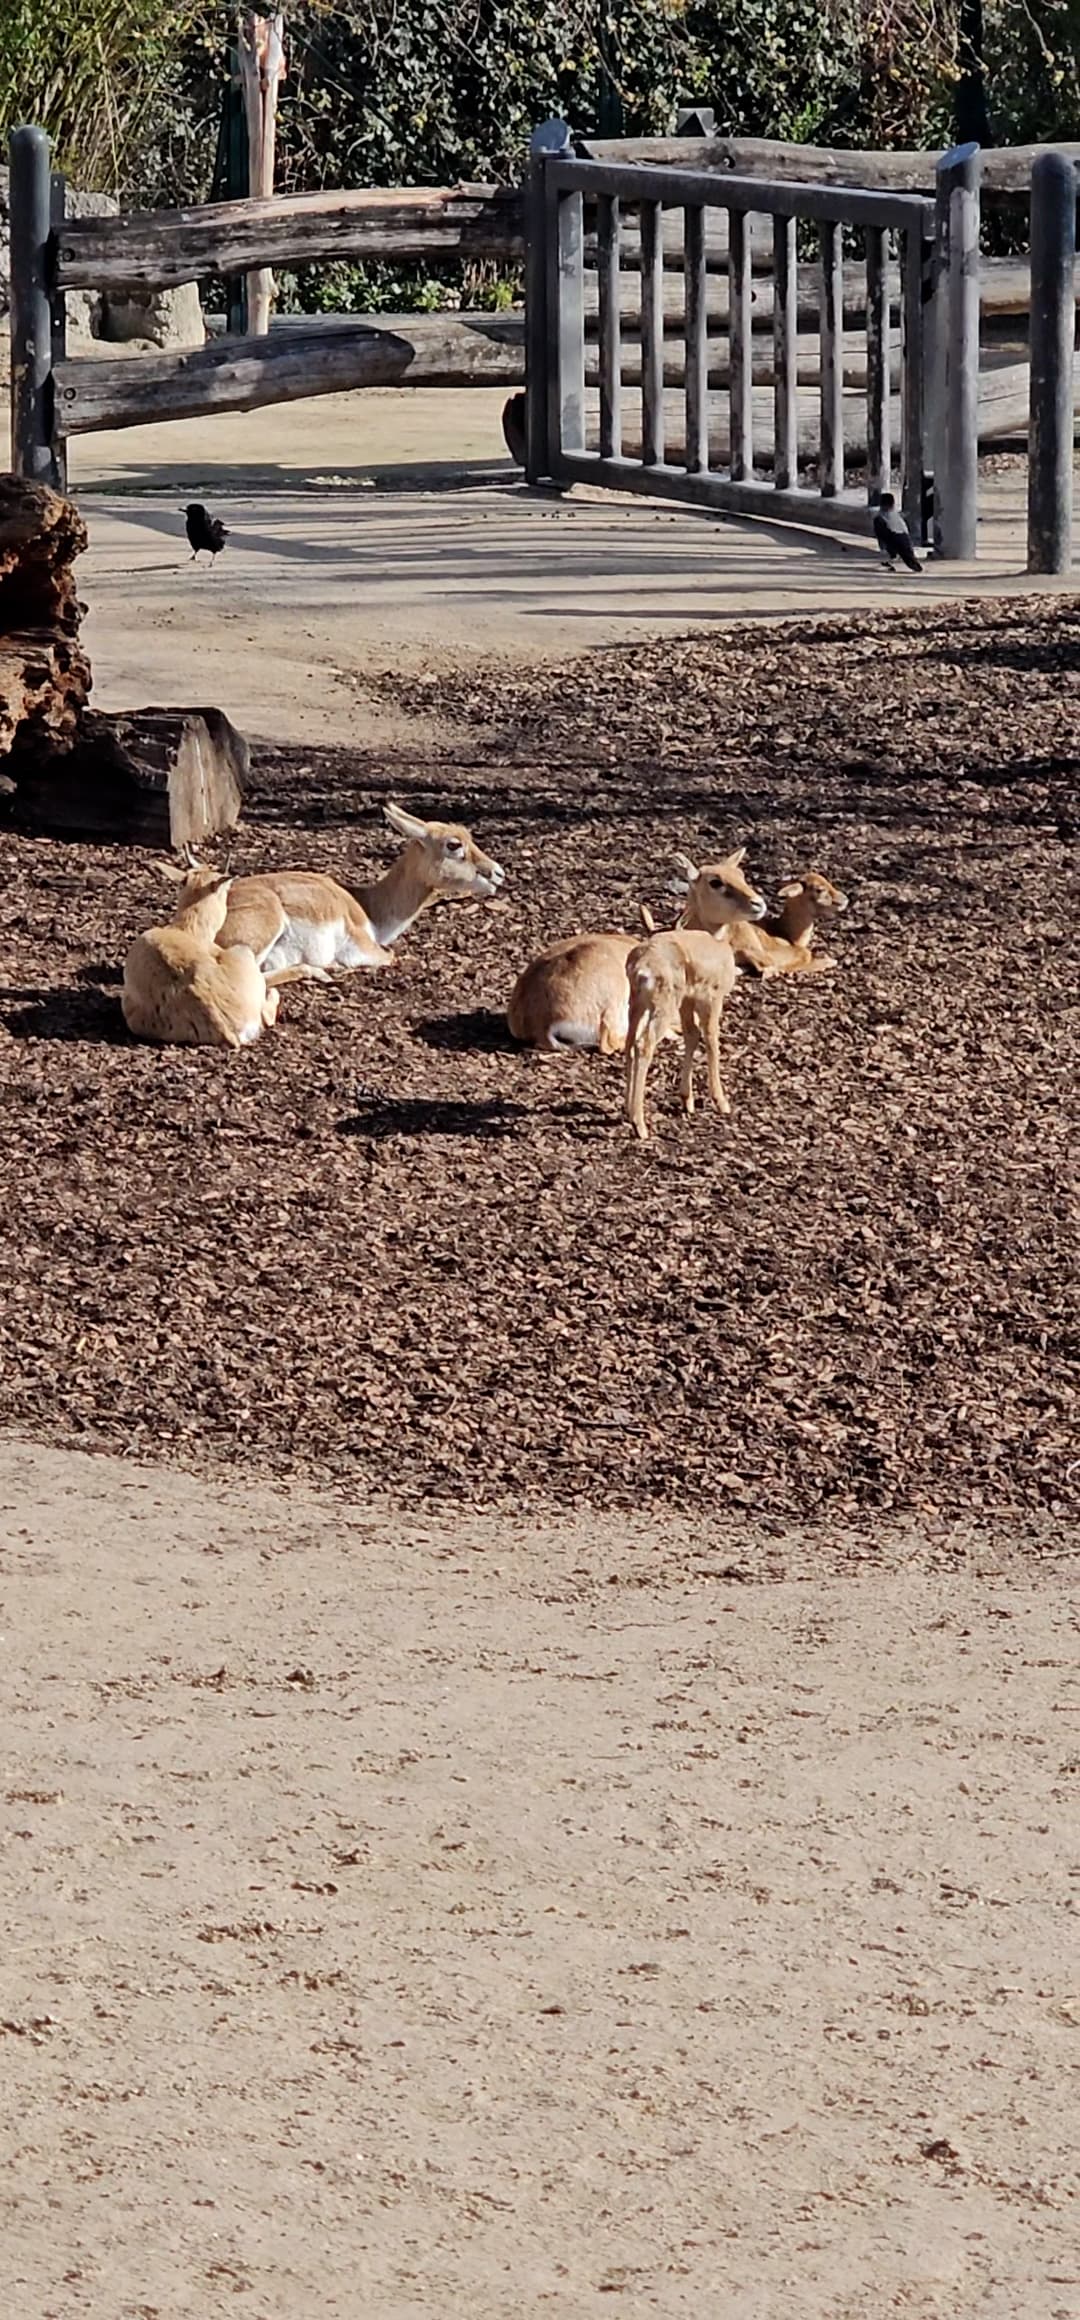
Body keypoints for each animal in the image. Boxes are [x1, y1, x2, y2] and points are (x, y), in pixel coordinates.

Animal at [624, 858, 768, 1142]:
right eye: (716, 882)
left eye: (741, 874)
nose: (758, 903)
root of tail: (641, 966)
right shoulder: (712, 997)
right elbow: (711, 1039)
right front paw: (721, 1102)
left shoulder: (687, 1001)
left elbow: (691, 1035)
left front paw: (686, 1100)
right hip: (662, 1007)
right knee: (644, 1045)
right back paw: (639, 1125)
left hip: (636, 1004)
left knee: (630, 1041)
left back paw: (626, 1109)